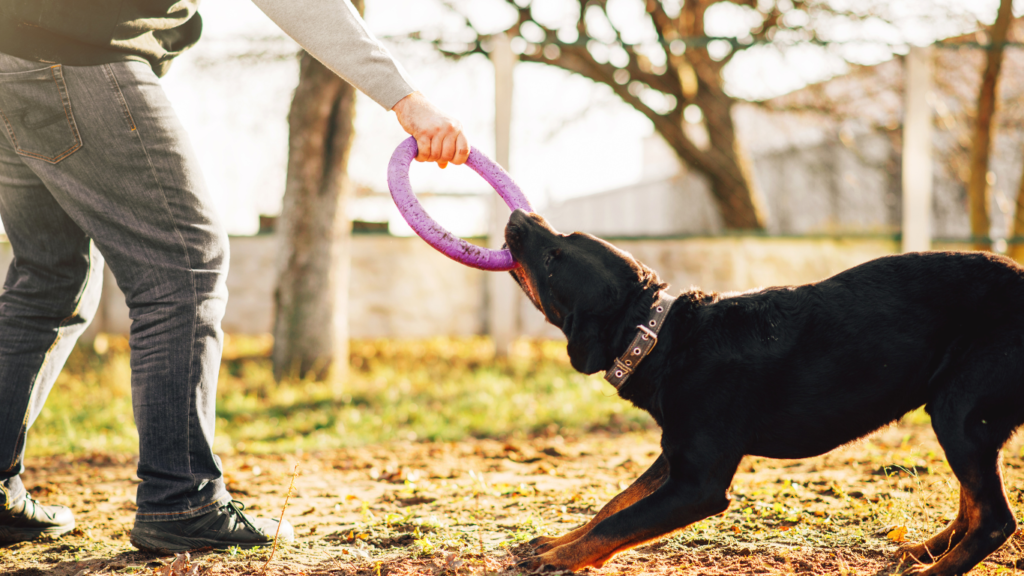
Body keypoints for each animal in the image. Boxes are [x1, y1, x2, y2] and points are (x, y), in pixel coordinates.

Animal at [503, 208, 1024, 569]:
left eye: (553, 258)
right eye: (562, 237)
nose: (518, 216)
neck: (660, 337)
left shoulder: (699, 484)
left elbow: (620, 521)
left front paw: (556, 560)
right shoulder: (675, 455)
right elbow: (613, 506)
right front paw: (558, 543)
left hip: (959, 414)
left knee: (994, 520)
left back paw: (931, 570)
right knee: (971, 508)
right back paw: (920, 553)